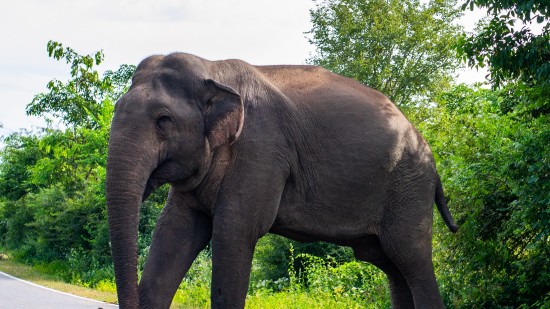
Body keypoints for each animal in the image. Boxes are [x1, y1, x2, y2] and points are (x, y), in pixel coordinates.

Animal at [105, 51, 460, 306]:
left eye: (163, 120)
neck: (213, 68)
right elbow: (175, 230)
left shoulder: (261, 150)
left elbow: (234, 231)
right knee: (391, 265)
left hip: (409, 188)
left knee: (410, 258)